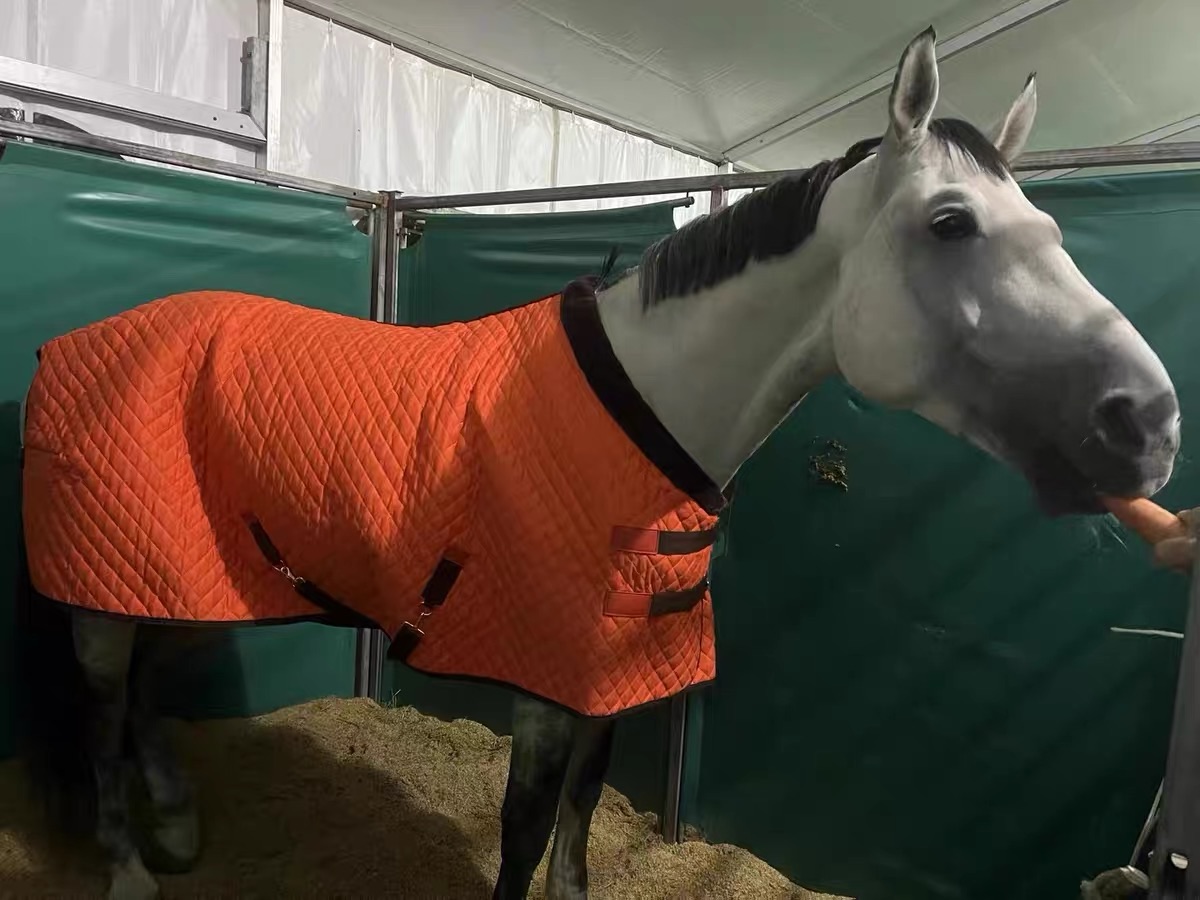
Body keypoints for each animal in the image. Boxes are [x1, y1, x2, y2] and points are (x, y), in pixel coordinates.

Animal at [14, 27, 1180, 900]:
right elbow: (527, 832)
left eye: (1052, 225)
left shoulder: (614, 681)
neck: (643, 412)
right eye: (950, 223)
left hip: (182, 575)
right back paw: (130, 869)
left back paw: (176, 827)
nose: (1150, 423)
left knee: (146, 693)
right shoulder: (542, 682)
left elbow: (575, 831)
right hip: (113, 590)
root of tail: (76, 339)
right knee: (101, 711)